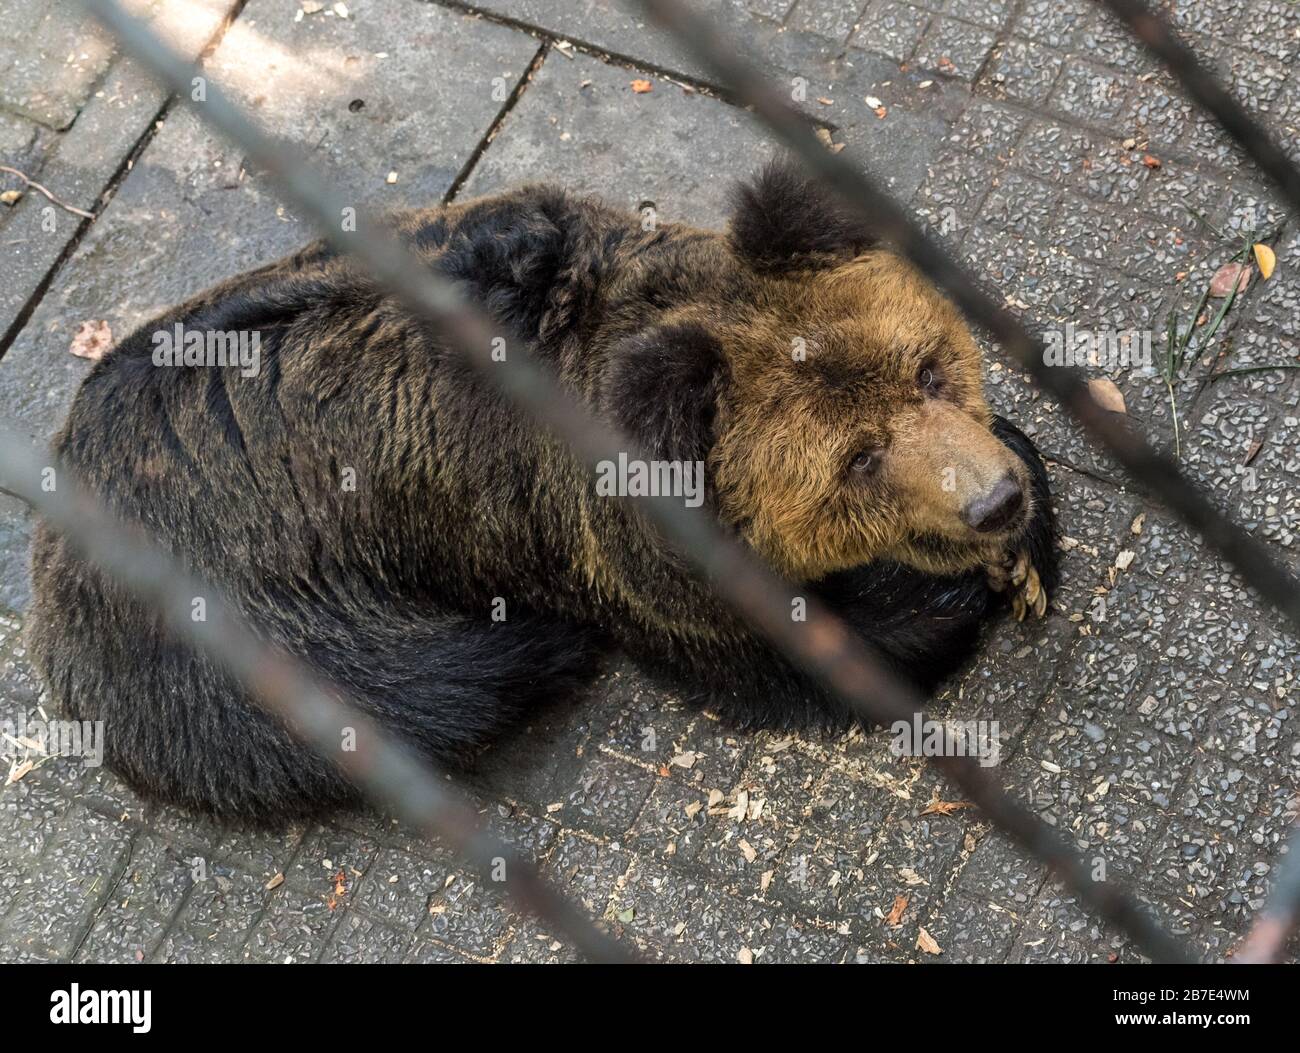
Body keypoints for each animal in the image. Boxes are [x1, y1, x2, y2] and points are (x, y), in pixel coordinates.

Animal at [25, 161, 1055, 821]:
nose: (992, 503)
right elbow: (770, 655)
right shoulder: (617, 544)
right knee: (429, 691)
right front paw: (945, 598)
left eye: (928, 368)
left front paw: (1022, 537)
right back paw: (538, 649)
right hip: (248, 611)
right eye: (858, 460)